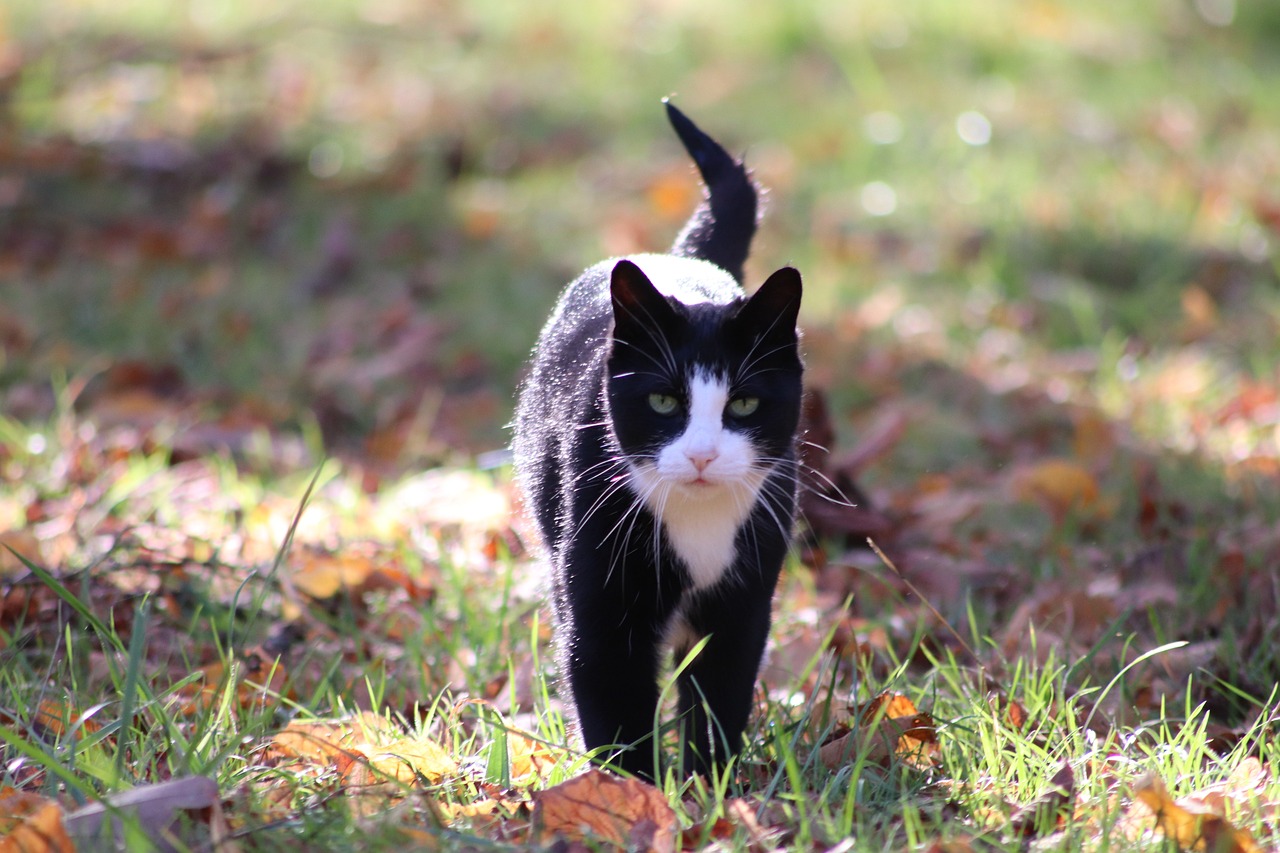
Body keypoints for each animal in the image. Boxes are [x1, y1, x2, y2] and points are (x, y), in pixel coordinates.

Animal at [509, 99, 798, 778]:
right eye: (665, 400)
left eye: (744, 402)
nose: (701, 454)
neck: (696, 524)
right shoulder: (601, 601)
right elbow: (609, 693)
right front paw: (627, 791)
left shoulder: (744, 602)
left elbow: (720, 695)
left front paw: (712, 787)